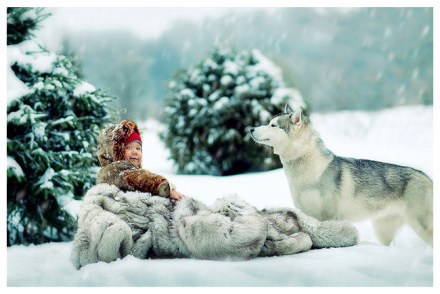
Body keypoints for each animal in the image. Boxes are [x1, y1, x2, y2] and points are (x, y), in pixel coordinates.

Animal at [251, 107, 434, 246]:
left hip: (421, 224)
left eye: (273, 125)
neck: (308, 173)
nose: (251, 129)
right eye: (269, 123)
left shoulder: (329, 216)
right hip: (383, 231)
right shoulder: (306, 212)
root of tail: (426, 176)